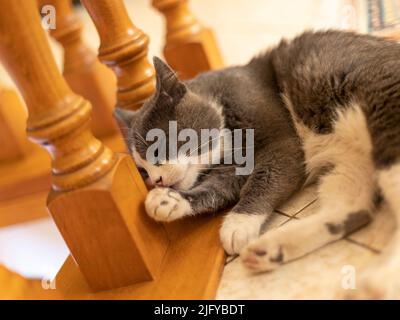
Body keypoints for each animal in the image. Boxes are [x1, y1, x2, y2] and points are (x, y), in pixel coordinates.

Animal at [114, 30, 400, 300]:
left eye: (156, 148)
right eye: (142, 172)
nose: (156, 180)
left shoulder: (283, 142)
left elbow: (267, 176)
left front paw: (238, 224)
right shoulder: (231, 168)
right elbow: (219, 188)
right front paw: (169, 201)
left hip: (384, 108)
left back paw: (378, 281)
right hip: (348, 165)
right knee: (352, 210)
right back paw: (271, 250)